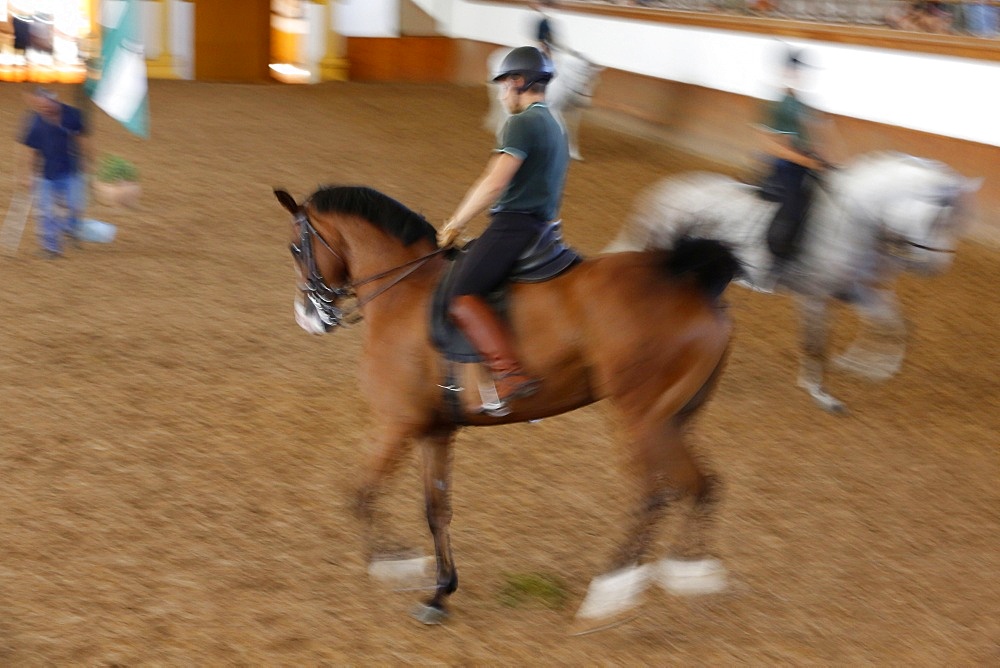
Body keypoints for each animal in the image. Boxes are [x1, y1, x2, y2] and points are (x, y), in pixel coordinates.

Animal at [274, 184, 744, 632]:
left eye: (296, 248)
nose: (307, 317)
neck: (404, 292)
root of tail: (693, 283)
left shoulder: (397, 423)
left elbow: (360, 493)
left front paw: (396, 564)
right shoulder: (434, 429)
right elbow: (435, 509)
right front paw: (439, 593)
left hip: (642, 415)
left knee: (657, 492)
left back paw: (612, 591)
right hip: (674, 416)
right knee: (704, 484)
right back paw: (691, 575)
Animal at [604, 151, 980, 412]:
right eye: (938, 218)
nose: (935, 267)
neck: (855, 221)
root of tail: (665, 191)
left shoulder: (858, 291)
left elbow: (895, 326)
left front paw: (866, 368)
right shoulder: (815, 296)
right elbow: (816, 343)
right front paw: (821, 394)